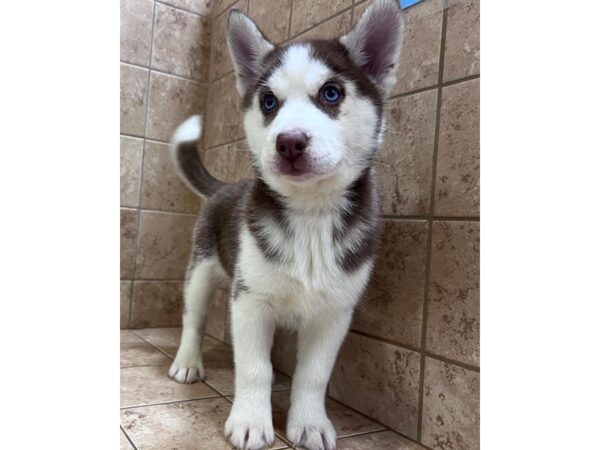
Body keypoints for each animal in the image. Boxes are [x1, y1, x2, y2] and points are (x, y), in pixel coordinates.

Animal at [168, 1, 404, 448]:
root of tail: (226, 186)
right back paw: (187, 361)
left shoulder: (334, 313)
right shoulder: (249, 301)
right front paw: (250, 420)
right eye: (268, 101)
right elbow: (254, 367)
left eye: (331, 93)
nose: (289, 142)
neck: (310, 214)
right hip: (201, 269)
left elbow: (313, 375)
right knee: (193, 317)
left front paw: (309, 422)